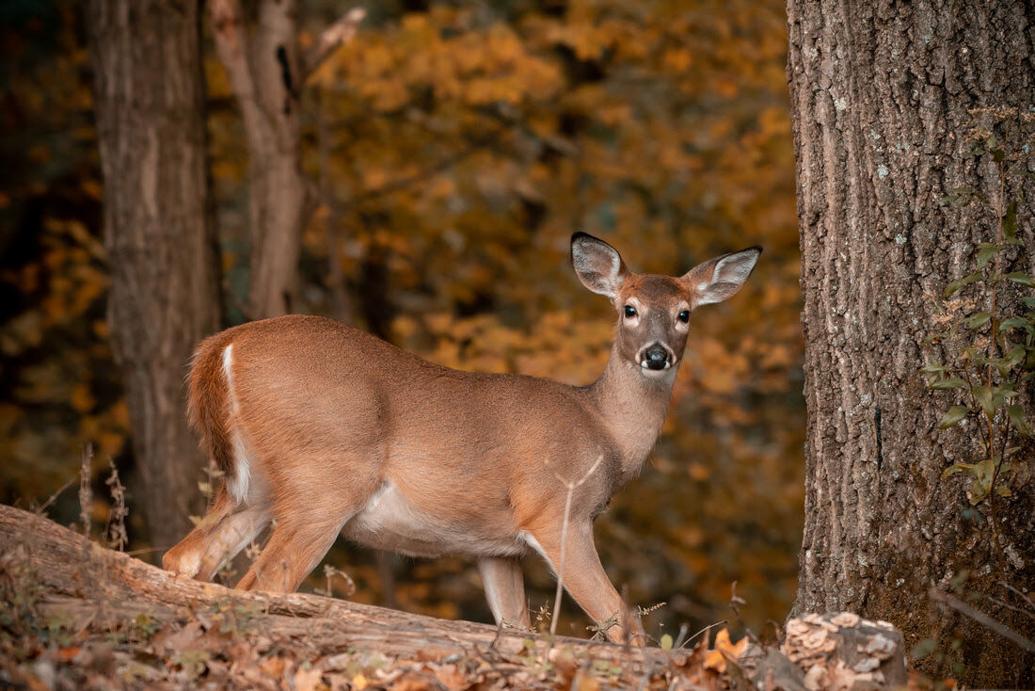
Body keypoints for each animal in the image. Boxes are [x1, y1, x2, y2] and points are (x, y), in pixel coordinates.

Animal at [162, 232, 761, 644]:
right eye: (629, 308)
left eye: (685, 314)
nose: (656, 355)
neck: (604, 430)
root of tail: (221, 347)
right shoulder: (555, 510)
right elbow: (622, 623)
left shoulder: (496, 548)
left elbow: (516, 629)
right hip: (324, 479)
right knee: (261, 584)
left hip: (254, 485)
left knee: (186, 560)